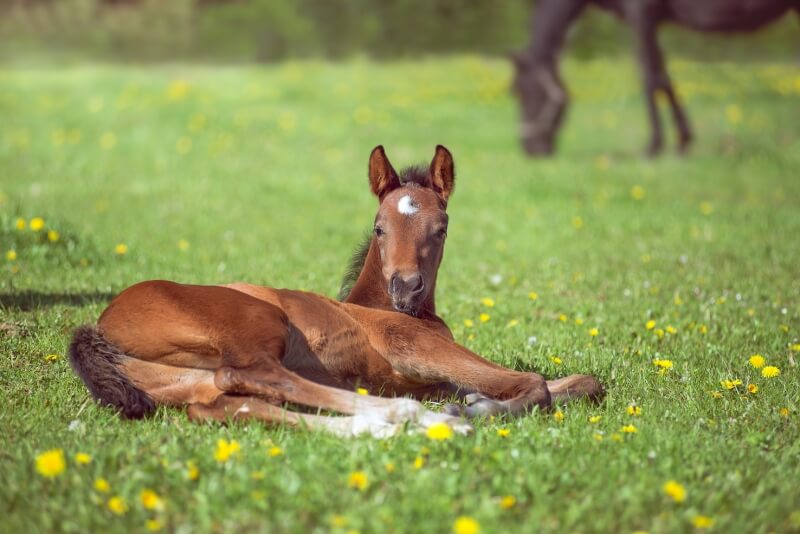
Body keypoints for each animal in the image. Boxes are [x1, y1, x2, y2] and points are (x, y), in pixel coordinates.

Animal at [69, 147, 604, 440]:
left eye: (443, 227)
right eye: (379, 227)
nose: (405, 287)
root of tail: (99, 328)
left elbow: (581, 382)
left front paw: (472, 401)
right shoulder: (419, 350)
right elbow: (536, 383)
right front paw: (479, 407)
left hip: (185, 385)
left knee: (228, 405)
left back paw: (390, 426)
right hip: (257, 322)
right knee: (255, 375)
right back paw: (422, 418)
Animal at [510, 0, 796, 157]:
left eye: (520, 91)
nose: (529, 148)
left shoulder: (641, 11)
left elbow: (650, 76)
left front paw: (653, 147)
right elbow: (663, 76)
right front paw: (682, 141)